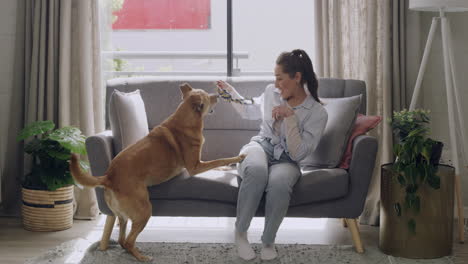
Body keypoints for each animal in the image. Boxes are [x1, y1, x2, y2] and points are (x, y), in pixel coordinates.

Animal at [70, 83, 245, 260]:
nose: (218, 95)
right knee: (128, 241)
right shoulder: (195, 167)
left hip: (123, 215)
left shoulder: (199, 164)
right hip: (144, 210)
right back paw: (143, 257)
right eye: (207, 97)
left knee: (122, 240)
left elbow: (217, 163)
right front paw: (238, 158)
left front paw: (229, 167)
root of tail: (109, 176)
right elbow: (219, 160)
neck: (185, 119)